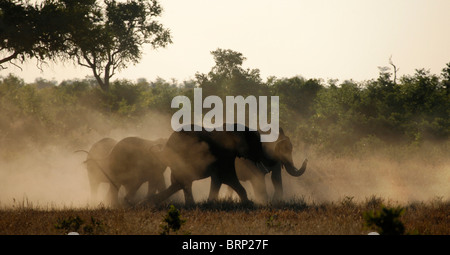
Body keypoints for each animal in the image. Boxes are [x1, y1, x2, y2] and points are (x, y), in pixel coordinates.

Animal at [146, 123, 304, 205]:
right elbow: (227, 177)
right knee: (183, 182)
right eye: (255, 145)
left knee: (180, 183)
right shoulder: (224, 155)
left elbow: (219, 179)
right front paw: (250, 203)